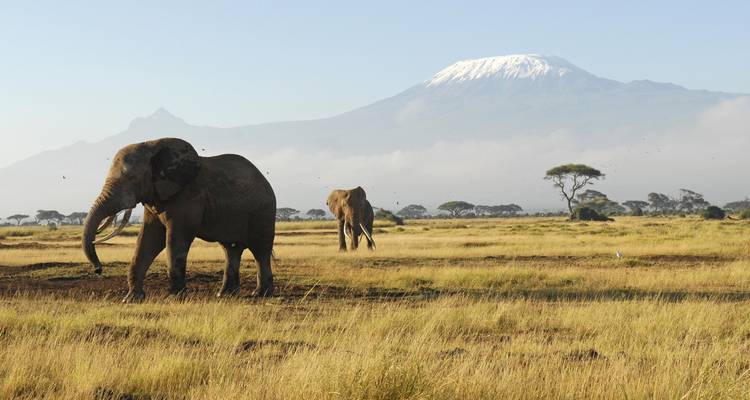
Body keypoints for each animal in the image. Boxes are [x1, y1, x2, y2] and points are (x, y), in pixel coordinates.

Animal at [81, 137, 276, 302]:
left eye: (132, 178)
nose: (98, 269)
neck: (152, 145)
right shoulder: (155, 196)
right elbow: (149, 239)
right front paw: (131, 299)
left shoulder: (188, 197)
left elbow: (175, 239)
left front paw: (174, 297)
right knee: (231, 249)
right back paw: (225, 294)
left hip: (264, 212)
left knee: (260, 251)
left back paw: (260, 294)